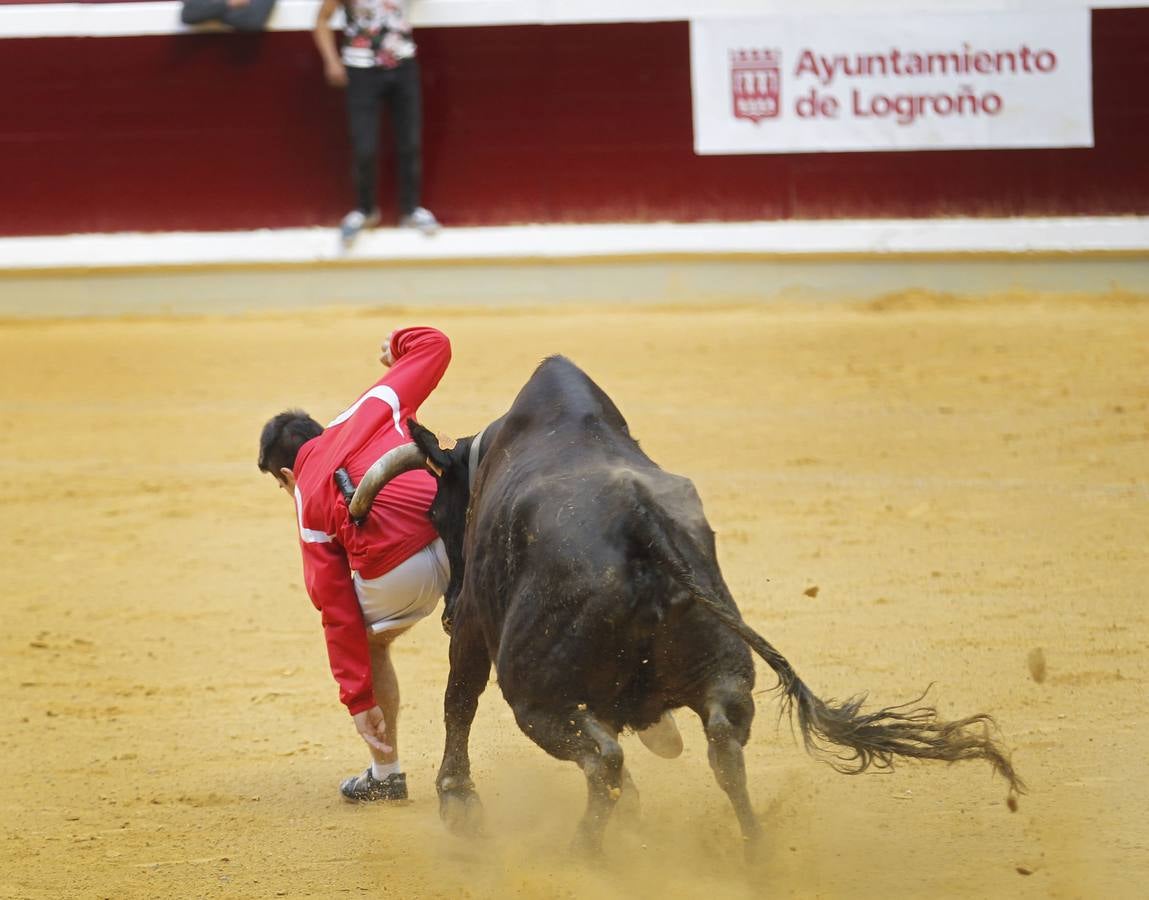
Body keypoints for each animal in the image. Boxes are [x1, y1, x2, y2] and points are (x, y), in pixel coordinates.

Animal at [349, 356, 1024, 850]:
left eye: (438, 514)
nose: (445, 606)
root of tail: (640, 523)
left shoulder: (474, 624)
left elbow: (458, 699)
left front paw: (457, 802)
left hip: (534, 694)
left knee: (603, 758)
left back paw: (587, 855)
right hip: (722, 668)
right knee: (723, 746)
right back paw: (755, 856)